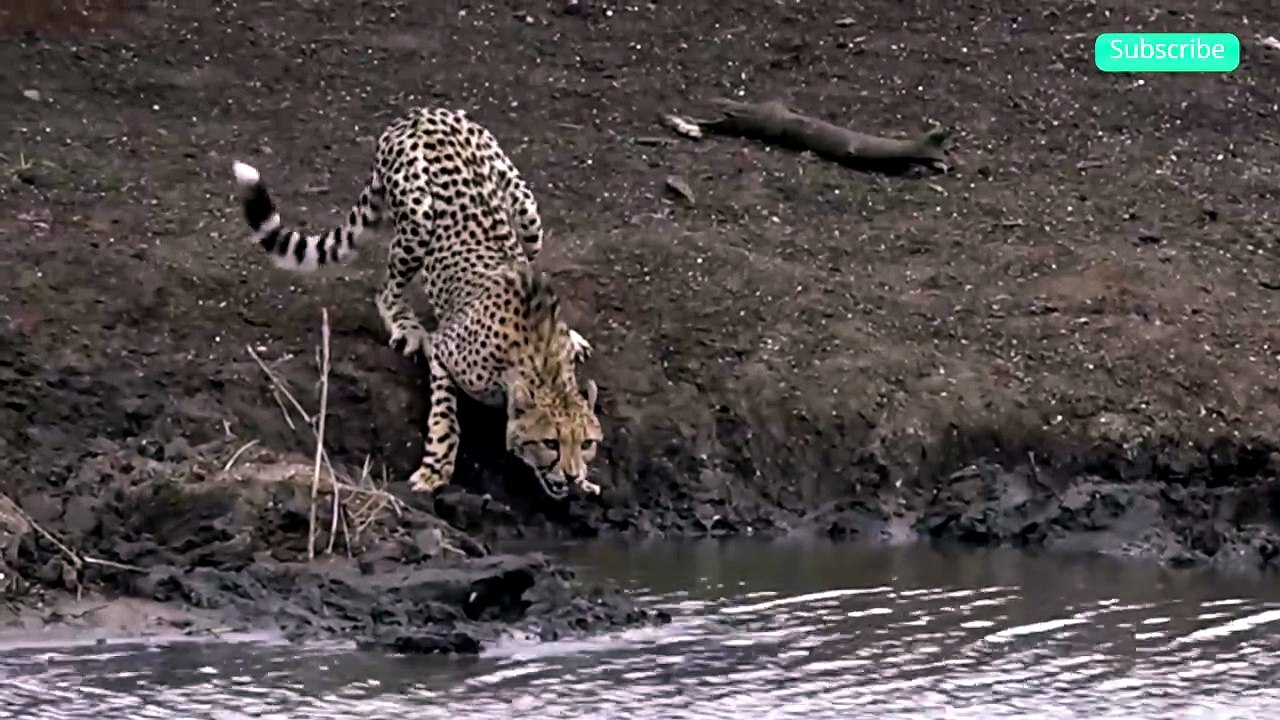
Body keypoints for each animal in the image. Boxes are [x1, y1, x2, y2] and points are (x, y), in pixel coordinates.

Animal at [229, 106, 603, 499]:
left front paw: (586, 481)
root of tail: (420, 113)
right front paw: (435, 469)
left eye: (587, 443)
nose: (572, 475)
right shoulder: (444, 351)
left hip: (526, 209)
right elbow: (446, 417)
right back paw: (408, 327)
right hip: (420, 218)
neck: (541, 362)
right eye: (550, 443)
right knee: (386, 289)